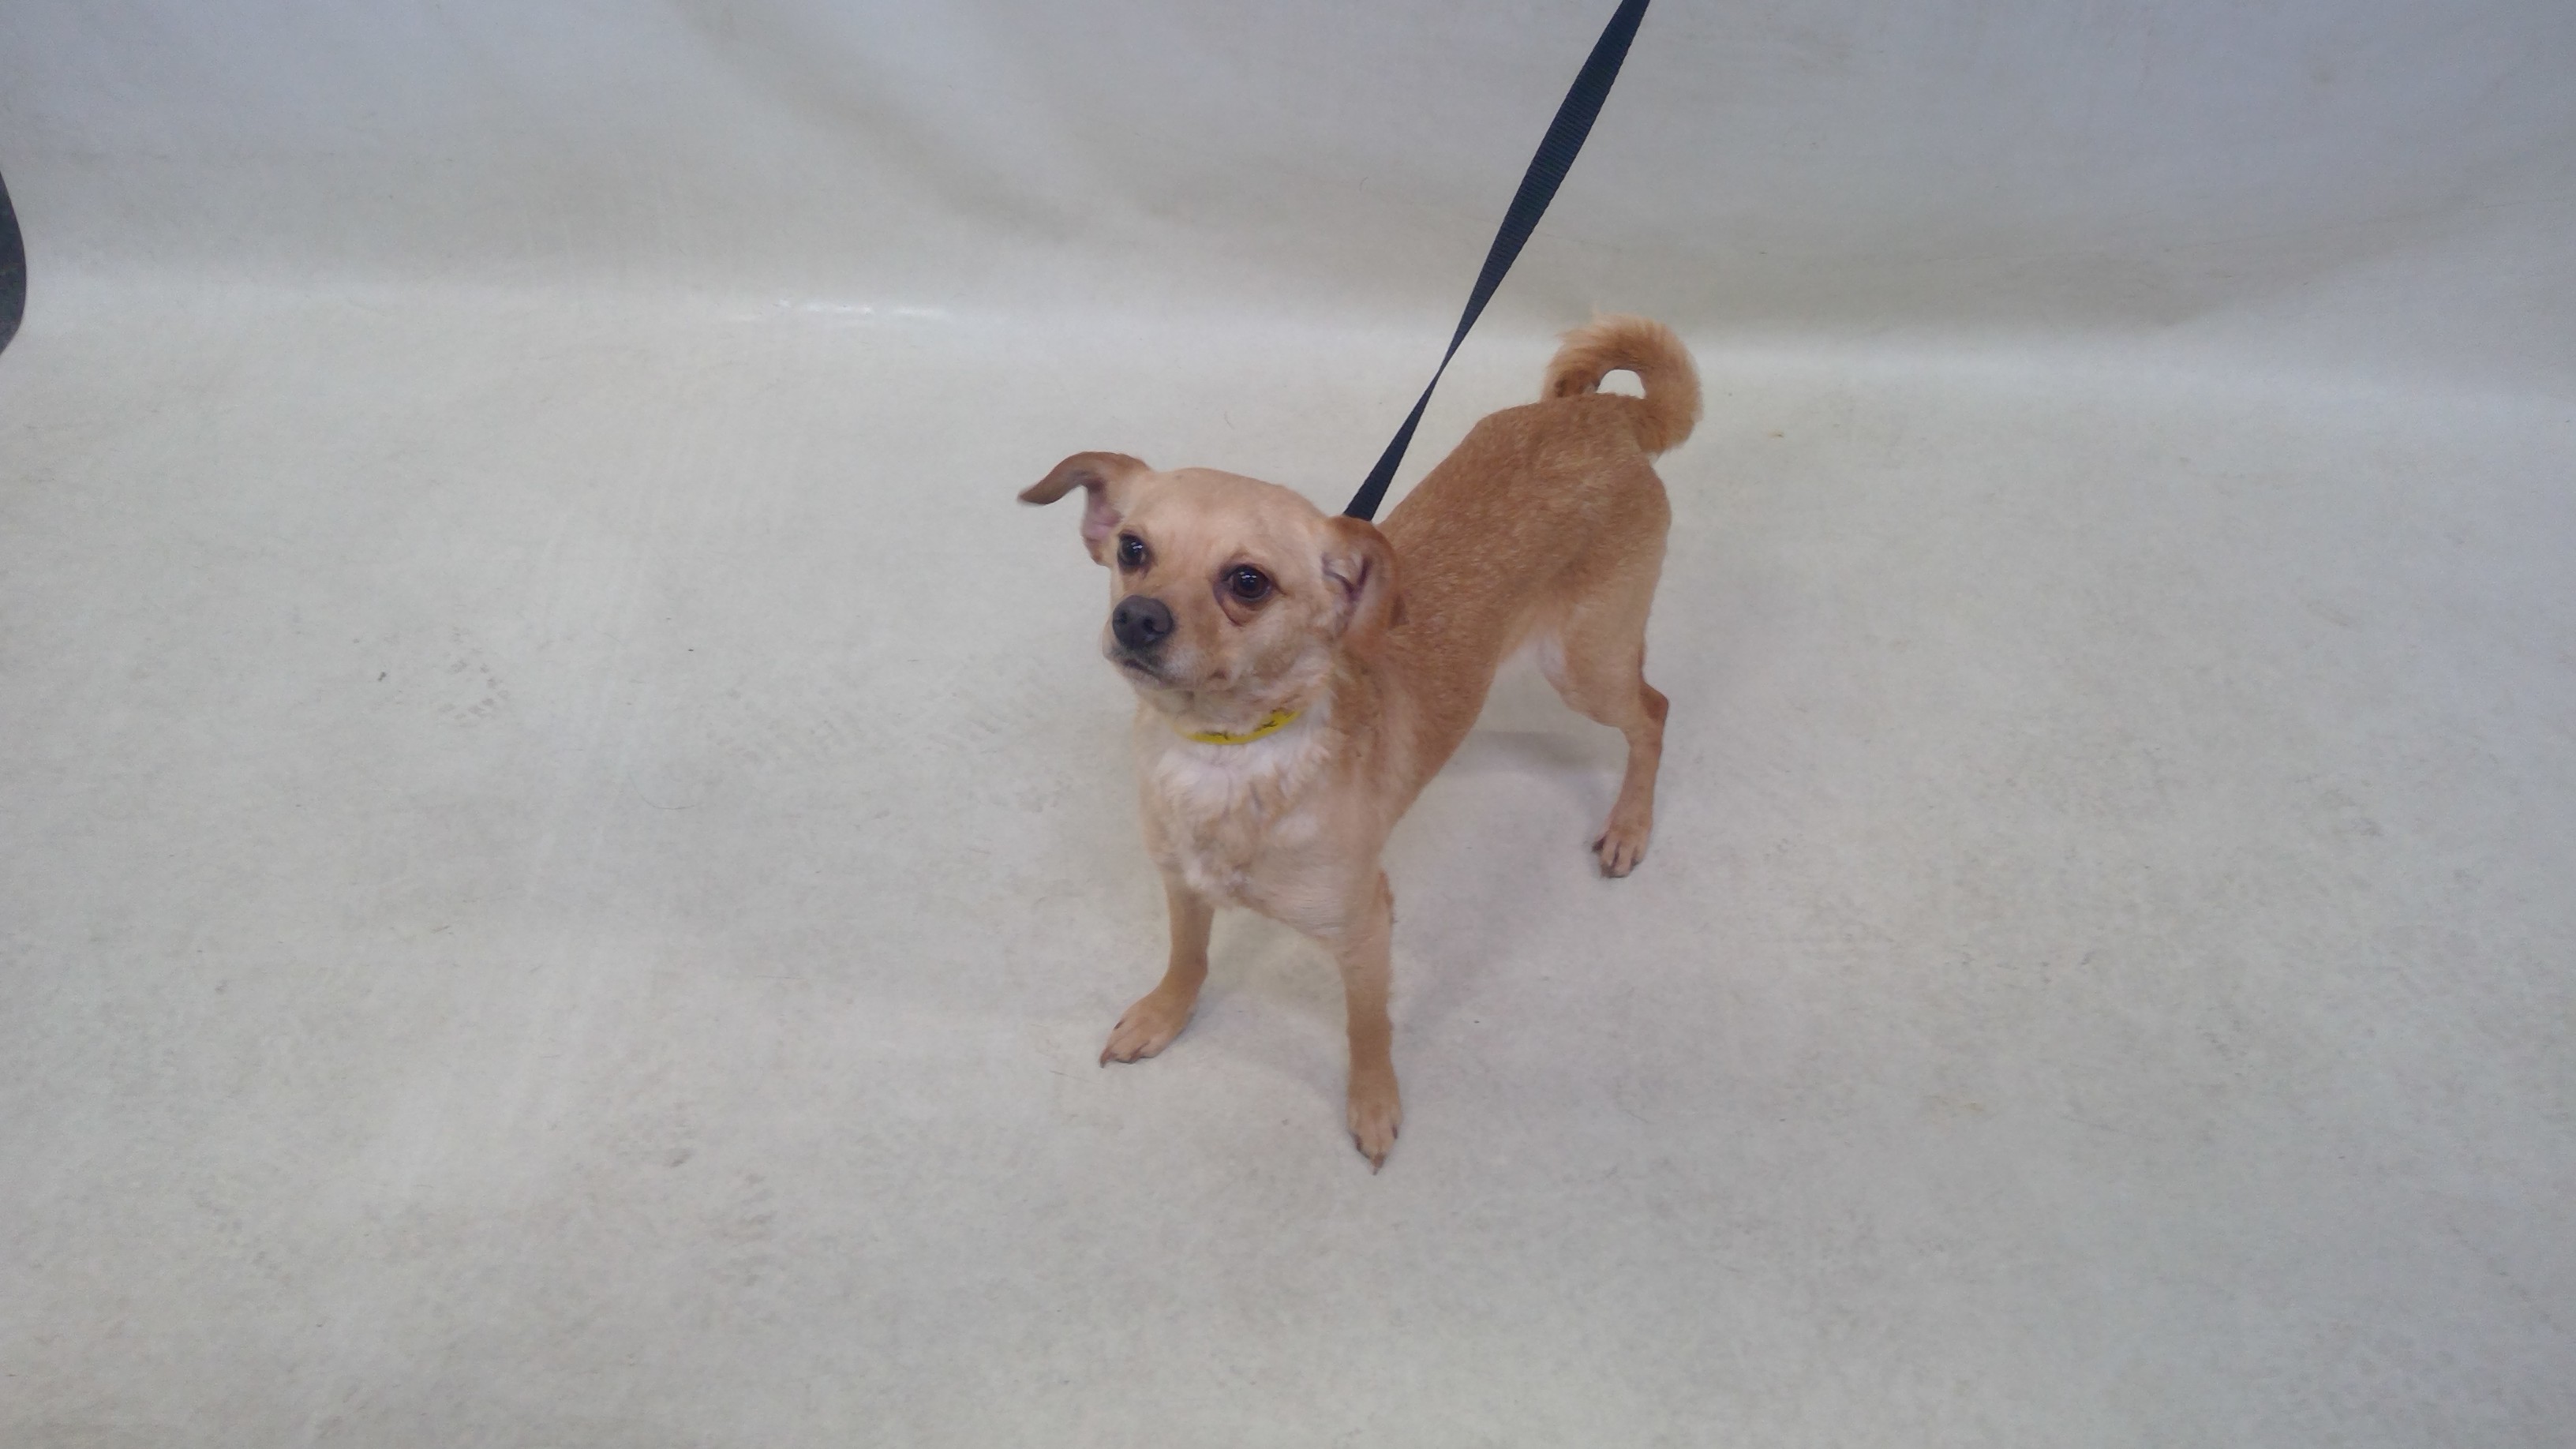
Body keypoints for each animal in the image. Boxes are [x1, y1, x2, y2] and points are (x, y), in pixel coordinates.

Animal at [1021, 315, 1698, 1168]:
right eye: (1133, 550)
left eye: (1248, 583)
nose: (1135, 618)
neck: (1229, 755)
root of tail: (1606, 416)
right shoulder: (1181, 886)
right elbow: (1189, 957)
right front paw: (1163, 1016)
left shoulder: (1367, 928)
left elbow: (1368, 1027)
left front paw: (1374, 1103)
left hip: (1585, 666)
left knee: (1655, 712)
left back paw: (1630, 826)